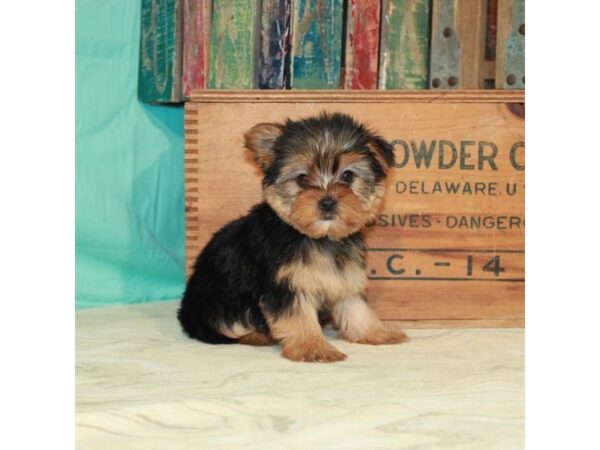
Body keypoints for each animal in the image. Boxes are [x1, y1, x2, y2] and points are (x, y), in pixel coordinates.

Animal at [178, 112, 408, 362]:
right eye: (302, 179)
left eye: (348, 176)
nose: (327, 202)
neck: (321, 237)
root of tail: (189, 313)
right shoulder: (286, 285)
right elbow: (299, 317)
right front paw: (313, 347)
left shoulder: (344, 276)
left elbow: (355, 307)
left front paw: (376, 332)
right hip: (219, 304)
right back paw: (258, 336)